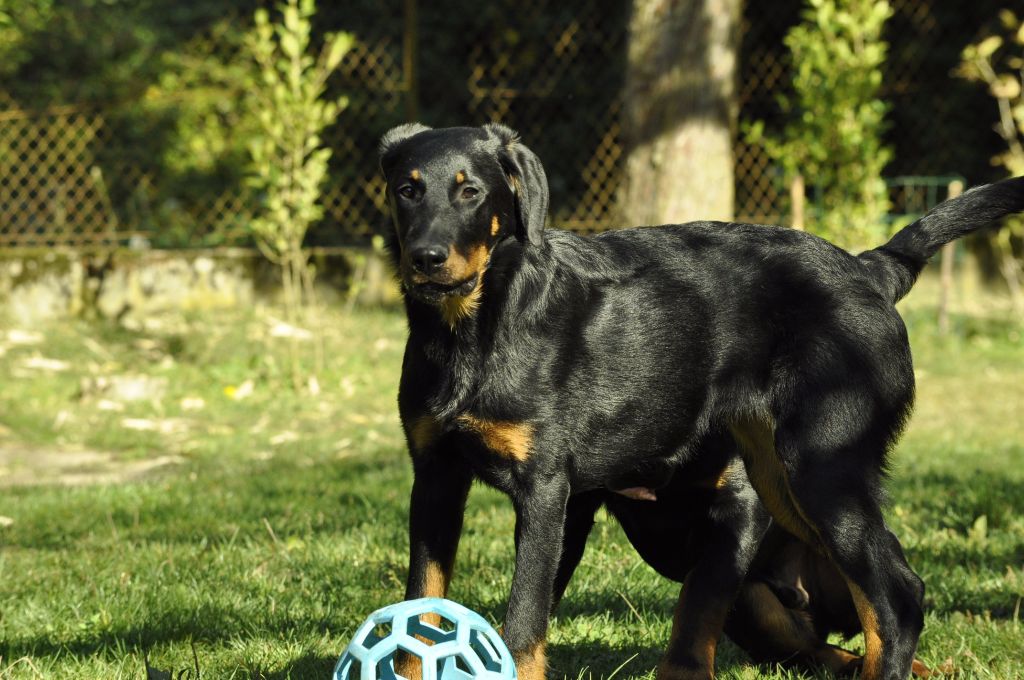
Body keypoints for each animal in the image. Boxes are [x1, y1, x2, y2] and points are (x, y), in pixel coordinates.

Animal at [378, 123, 1024, 680]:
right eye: (407, 189)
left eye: (471, 192)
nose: (426, 258)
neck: (472, 327)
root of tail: (872, 272)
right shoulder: (435, 478)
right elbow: (422, 602)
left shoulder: (545, 490)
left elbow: (523, 623)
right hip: (781, 486)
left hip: (822, 465)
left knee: (898, 595)